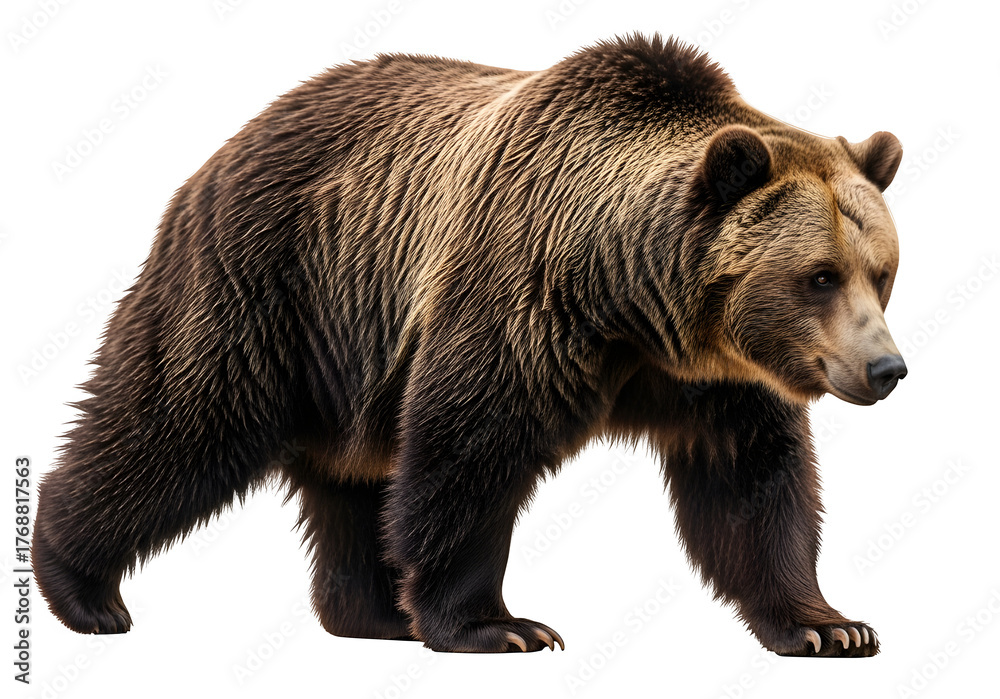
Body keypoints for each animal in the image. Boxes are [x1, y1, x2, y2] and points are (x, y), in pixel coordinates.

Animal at [33, 33, 906, 657]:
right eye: (819, 275)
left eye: (883, 270)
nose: (886, 368)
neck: (633, 302)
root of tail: (230, 142)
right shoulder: (522, 299)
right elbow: (469, 449)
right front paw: (499, 625)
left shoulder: (717, 374)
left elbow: (753, 484)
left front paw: (828, 624)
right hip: (267, 285)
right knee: (178, 422)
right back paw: (83, 588)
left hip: (352, 355)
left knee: (354, 478)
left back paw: (375, 611)